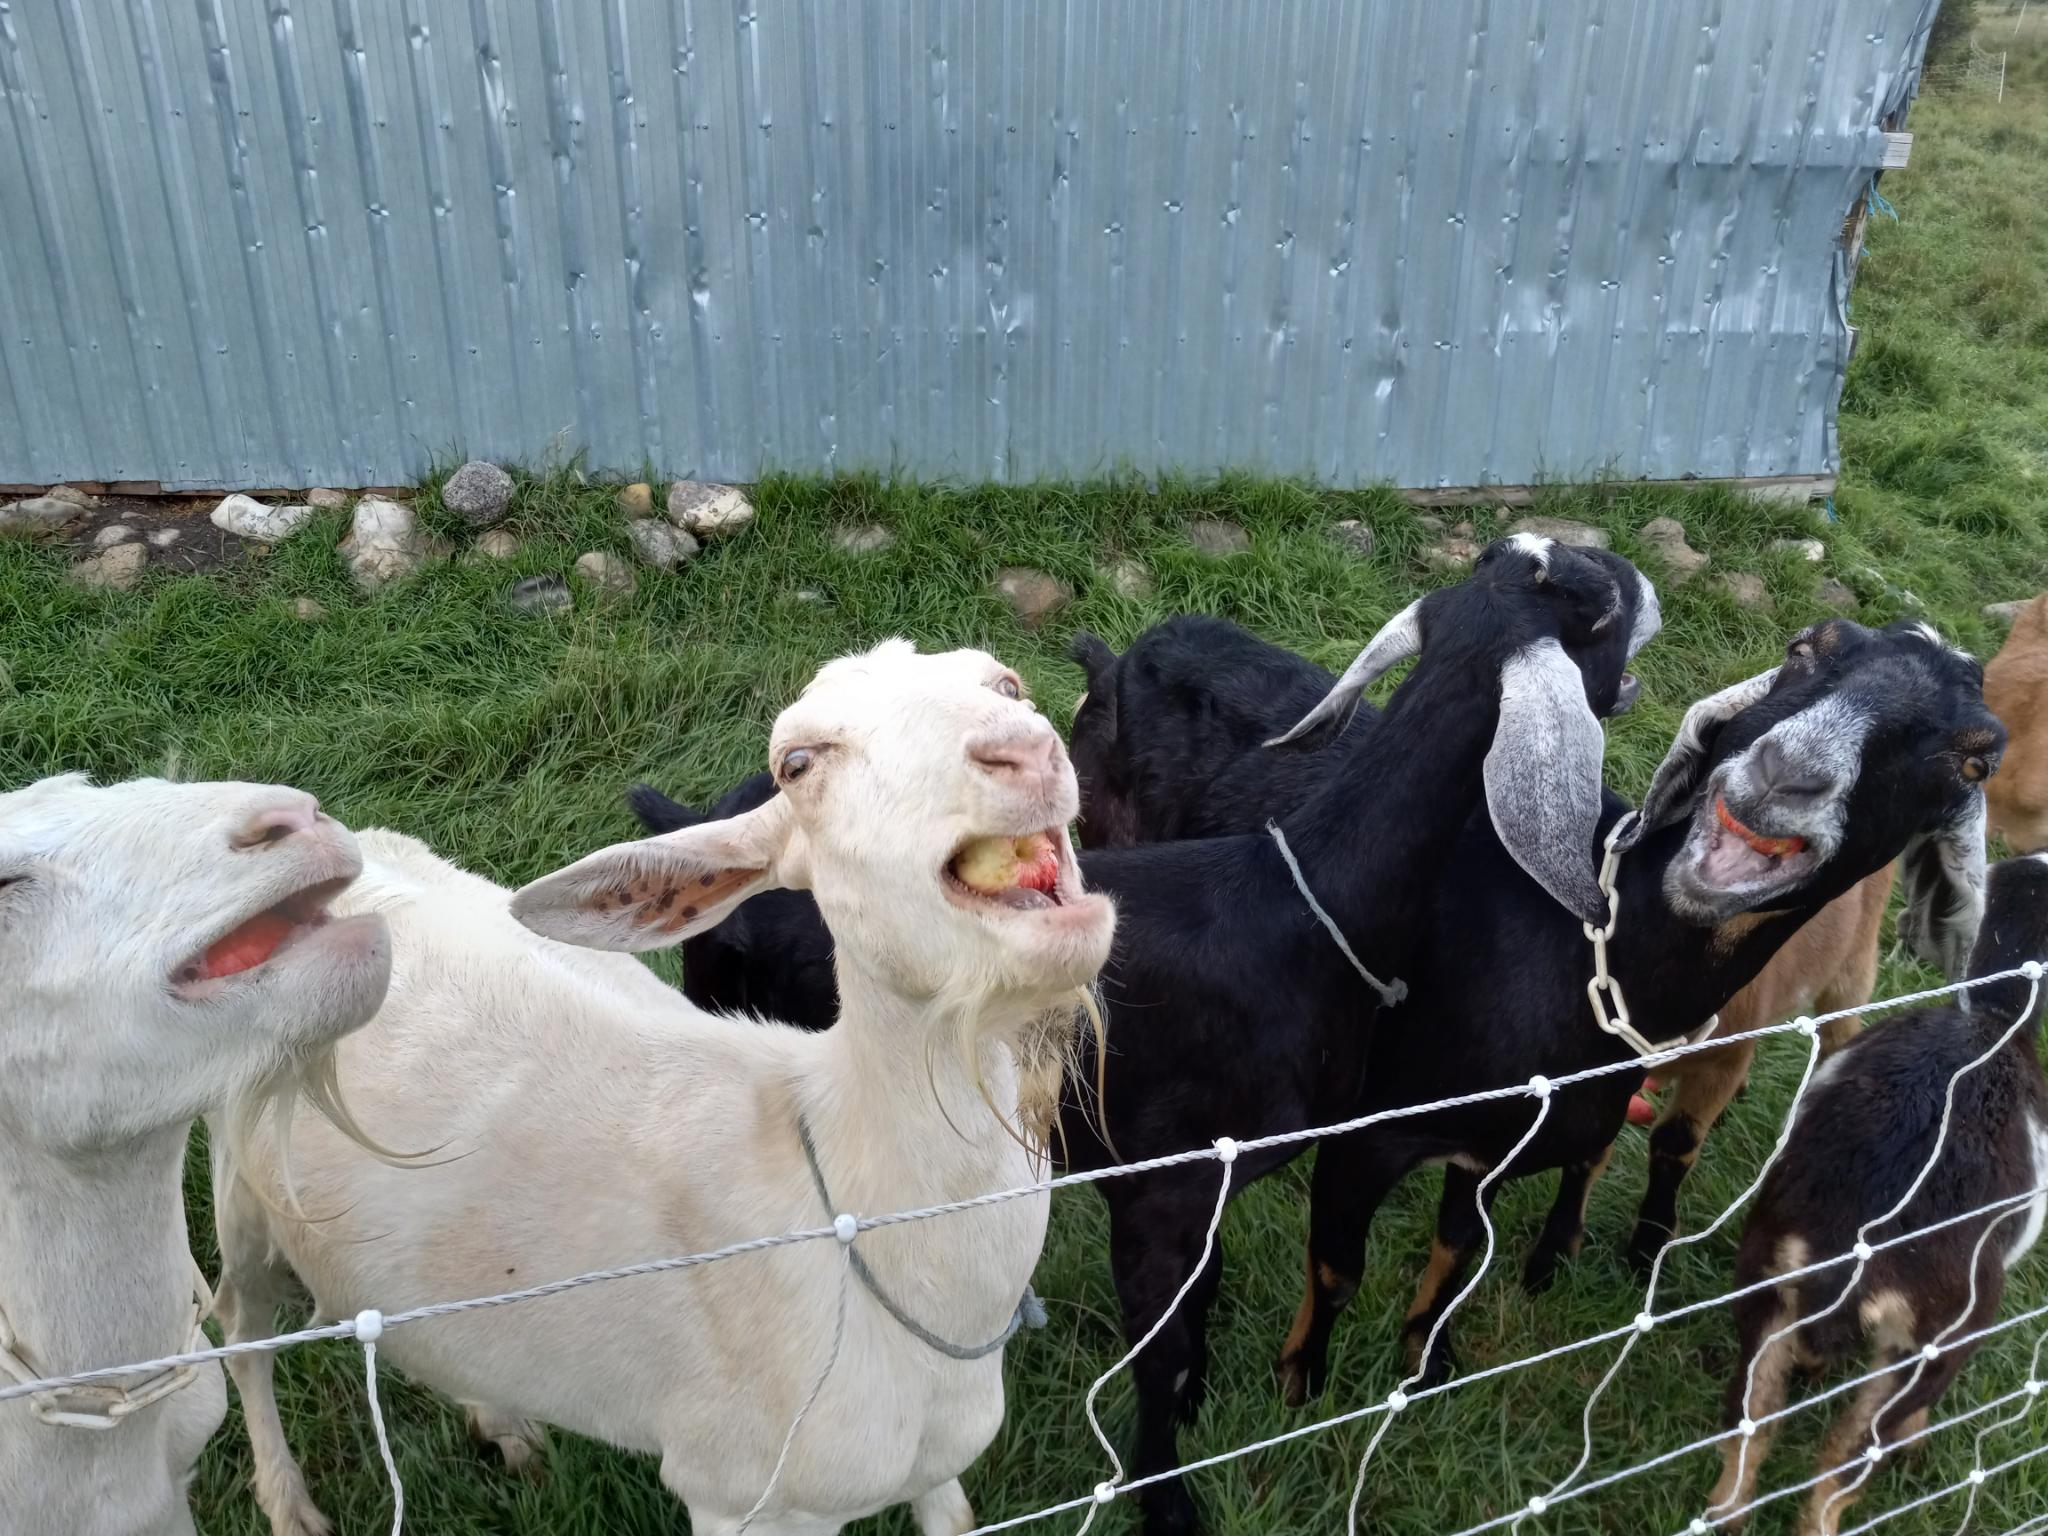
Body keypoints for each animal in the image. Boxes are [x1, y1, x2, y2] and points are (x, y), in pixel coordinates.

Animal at [212, 640, 1117, 1536]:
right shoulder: (739, 1495)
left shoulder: (936, 1460)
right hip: (237, 1170)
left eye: (1009, 686)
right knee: (240, 1327)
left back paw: (500, 1421)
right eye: (797, 763)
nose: (1023, 749)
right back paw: (288, 1502)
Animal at [1709, 852, 2048, 1536]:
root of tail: (1852, 1255)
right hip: (1941, 1338)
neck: (1997, 1017)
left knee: (1750, 1421)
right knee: (1845, 1458)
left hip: (1764, 1281)